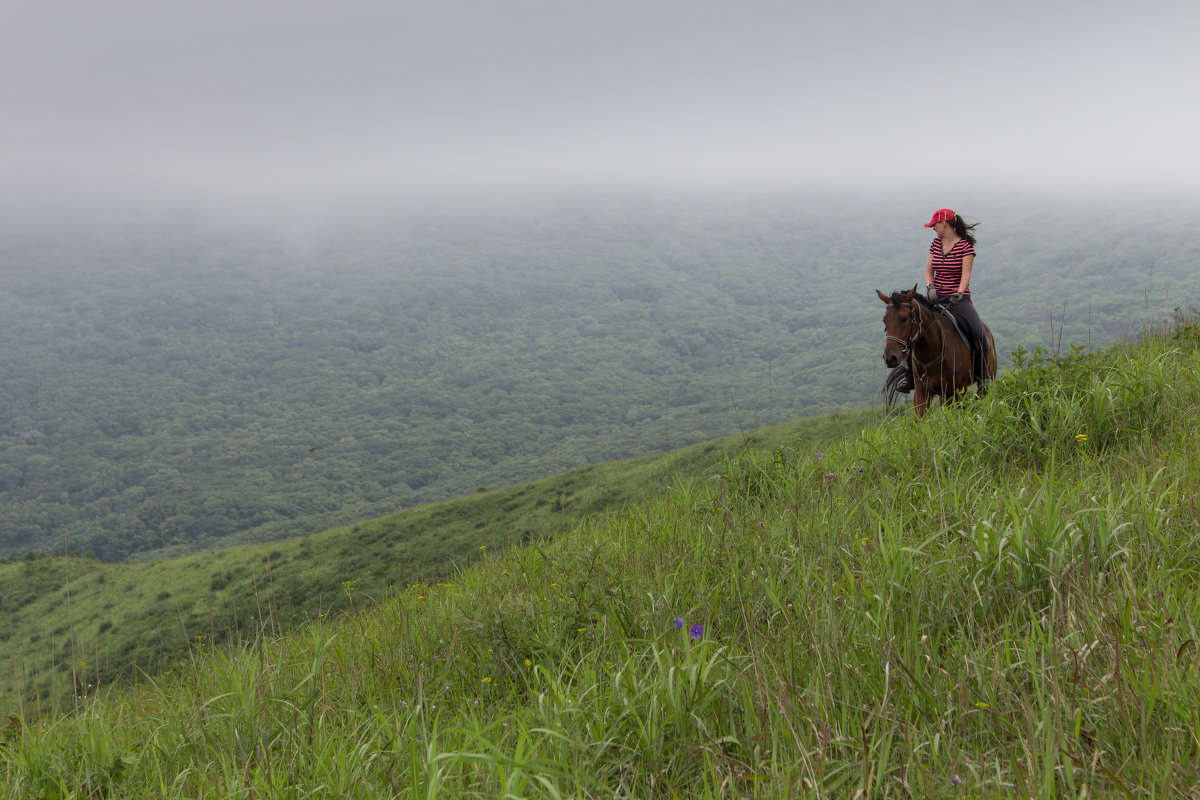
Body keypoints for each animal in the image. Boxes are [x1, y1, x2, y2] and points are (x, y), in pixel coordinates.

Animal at [878, 284, 998, 417]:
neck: (932, 352)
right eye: (885, 320)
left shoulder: (960, 391)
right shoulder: (921, 394)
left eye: (904, 319)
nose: (890, 358)